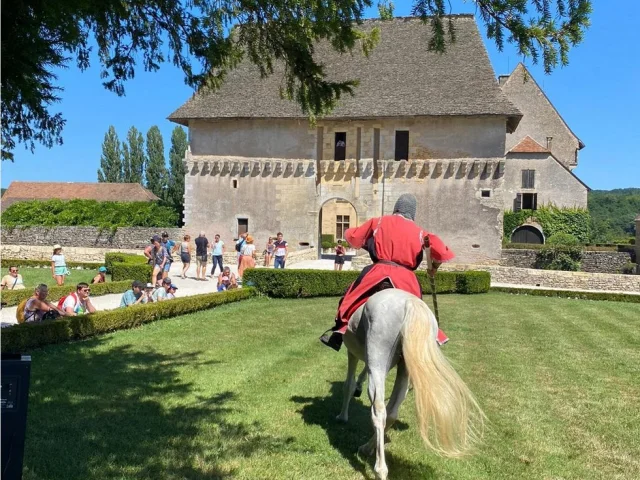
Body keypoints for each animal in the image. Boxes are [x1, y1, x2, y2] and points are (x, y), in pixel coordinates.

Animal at [338, 288, 482, 480]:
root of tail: (409, 303)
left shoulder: (352, 353)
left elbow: (348, 384)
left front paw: (342, 416)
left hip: (378, 358)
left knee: (379, 410)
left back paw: (379, 469)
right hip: (405, 368)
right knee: (391, 412)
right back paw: (368, 448)